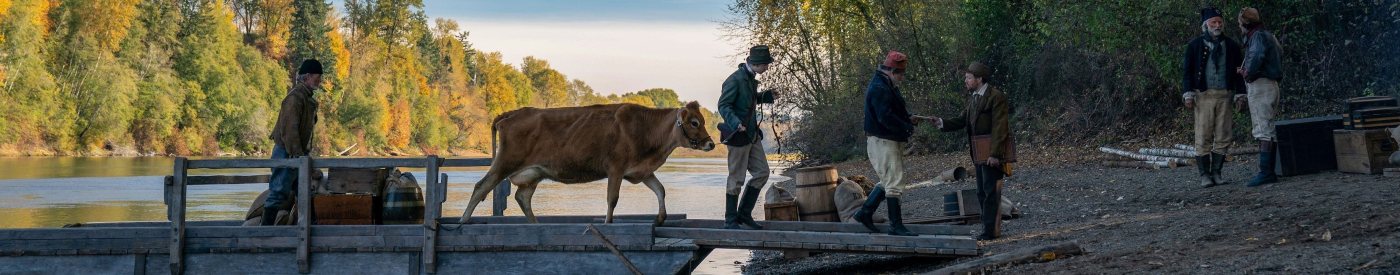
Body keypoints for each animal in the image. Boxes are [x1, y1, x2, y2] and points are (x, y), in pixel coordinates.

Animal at [464, 101, 716, 225]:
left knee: (522, 197)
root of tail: (510, 114)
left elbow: (661, 190)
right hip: (505, 162)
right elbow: (612, 199)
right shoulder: (615, 168)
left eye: (702, 121)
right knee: (481, 186)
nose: (711, 143)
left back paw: (536, 224)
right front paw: (607, 222)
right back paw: (463, 221)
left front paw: (661, 217)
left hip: (533, 173)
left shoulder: (641, 171)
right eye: (694, 122)